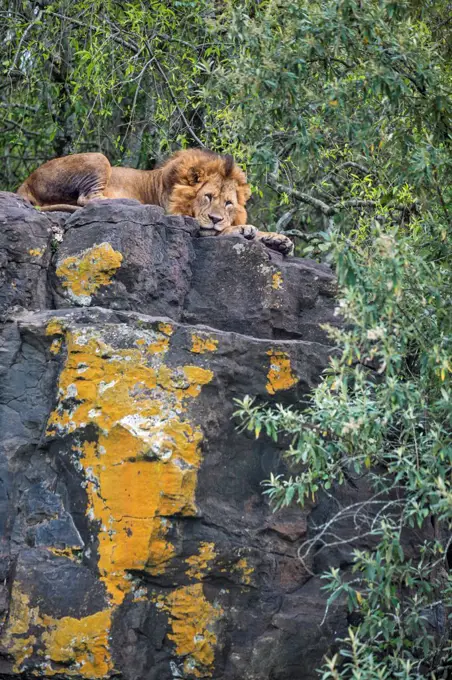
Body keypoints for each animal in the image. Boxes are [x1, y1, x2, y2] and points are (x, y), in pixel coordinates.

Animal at [16, 149, 294, 255]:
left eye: (228, 203)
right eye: (208, 196)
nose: (216, 218)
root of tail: (25, 182)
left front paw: (279, 240)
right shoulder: (187, 221)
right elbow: (220, 231)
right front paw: (243, 229)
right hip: (98, 157)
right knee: (89, 198)